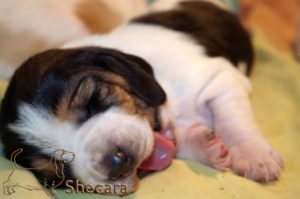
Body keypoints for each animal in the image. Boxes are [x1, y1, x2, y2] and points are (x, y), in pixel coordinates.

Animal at [0, 0, 284, 195]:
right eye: (57, 171)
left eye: (93, 101)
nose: (115, 163)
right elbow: (178, 143)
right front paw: (205, 146)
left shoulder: (220, 79)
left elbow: (234, 122)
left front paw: (255, 156)